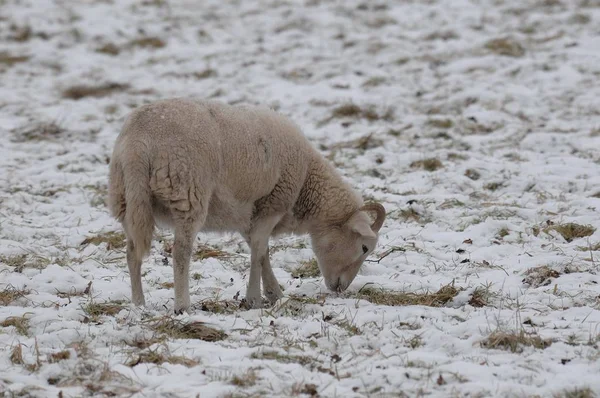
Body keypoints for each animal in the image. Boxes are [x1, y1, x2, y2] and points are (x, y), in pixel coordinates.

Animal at [108, 97, 386, 314]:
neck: (307, 182)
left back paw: (139, 304)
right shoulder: (272, 203)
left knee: (131, 252)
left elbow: (261, 252)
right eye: (364, 248)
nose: (341, 288)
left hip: (126, 198)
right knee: (180, 253)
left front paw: (274, 293)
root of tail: (139, 142)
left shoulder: (248, 215)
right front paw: (255, 298)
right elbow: (259, 250)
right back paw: (182, 305)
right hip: (188, 192)